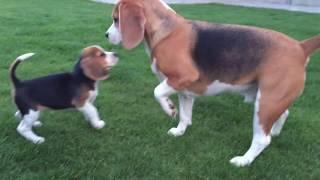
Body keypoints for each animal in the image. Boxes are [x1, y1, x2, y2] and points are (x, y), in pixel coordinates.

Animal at [105, 0, 320, 167]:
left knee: (261, 139)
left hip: (266, 103)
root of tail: (300, 47)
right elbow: (185, 116)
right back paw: (275, 131)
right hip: (269, 98)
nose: (106, 35)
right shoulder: (184, 90)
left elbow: (157, 92)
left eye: (116, 19)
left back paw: (243, 160)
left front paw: (169, 109)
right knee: (284, 113)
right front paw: (179, 131)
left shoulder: (182, 77)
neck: (166, 31)